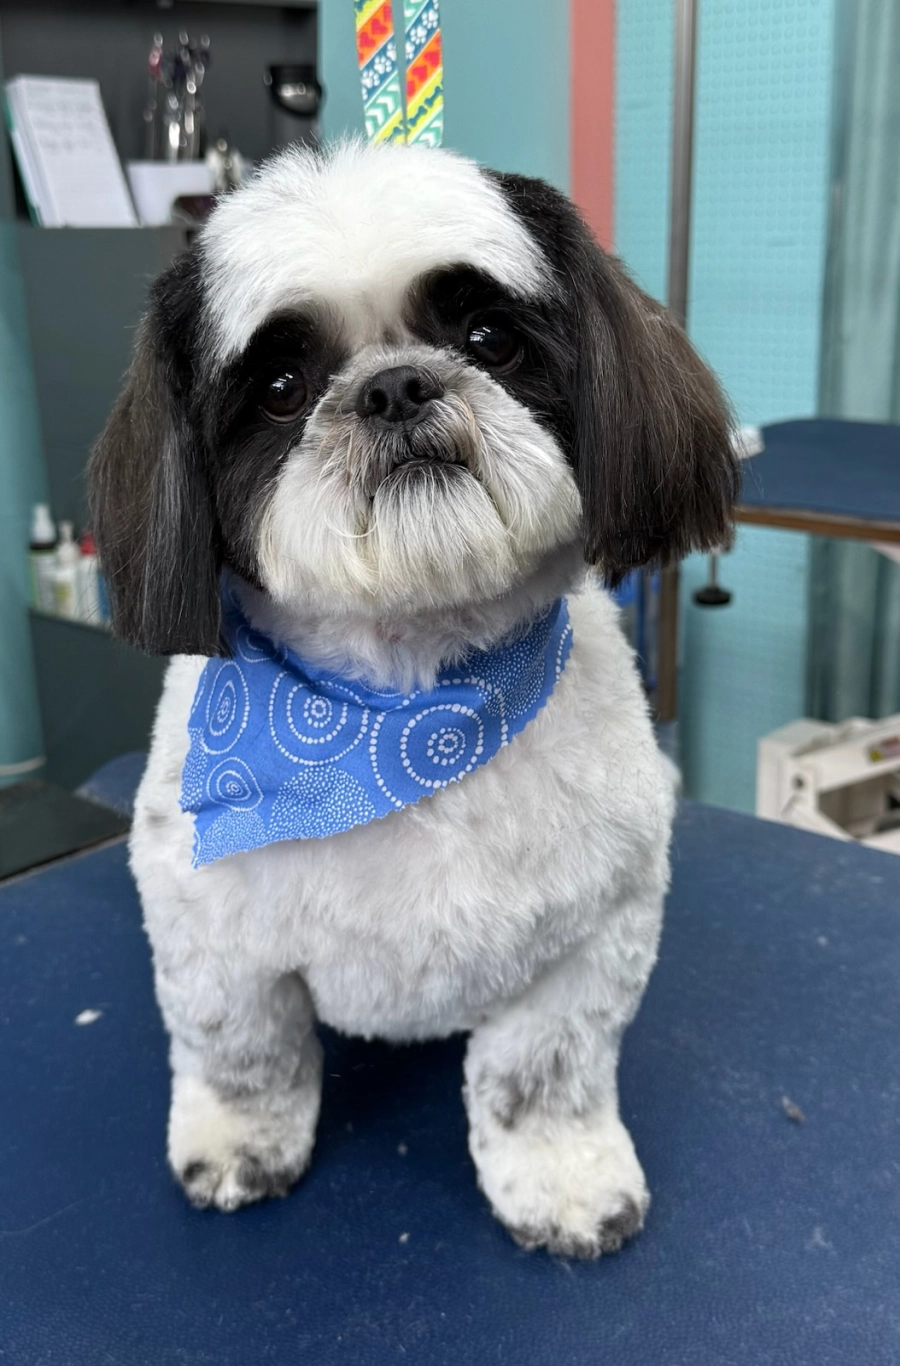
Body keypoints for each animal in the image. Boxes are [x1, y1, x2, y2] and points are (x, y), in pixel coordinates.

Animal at [90, 139, 736, 1258]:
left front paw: (563, 1180)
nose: (395, 387)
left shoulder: (593, 937)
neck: (408, 715)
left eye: (488, 338)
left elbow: (544, 1072)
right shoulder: (210, 935)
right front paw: (239, 1144)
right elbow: (241, 1050)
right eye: (279, 386)